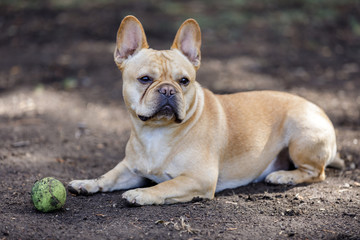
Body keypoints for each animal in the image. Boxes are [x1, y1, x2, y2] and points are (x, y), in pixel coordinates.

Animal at [68, 15, 344, 205]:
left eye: (184, 81)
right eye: (145, 79)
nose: (168, 90)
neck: (157, 132)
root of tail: (319, 110)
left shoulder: (198, 179)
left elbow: (164, 187)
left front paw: (141, 193)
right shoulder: (130, 168)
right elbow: (108, 177)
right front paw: (87, 183)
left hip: (301, 136)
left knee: (317, 173)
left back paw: (284, 177)